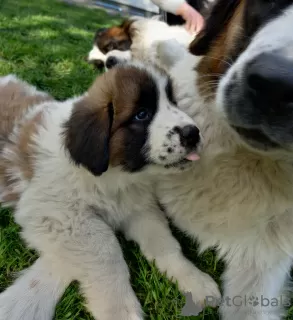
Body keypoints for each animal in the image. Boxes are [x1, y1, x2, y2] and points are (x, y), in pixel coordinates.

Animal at [0, 63, 219, 320]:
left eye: (174, 103)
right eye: (142, 114)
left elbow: (165, 243)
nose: (193, 133)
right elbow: (106, 249)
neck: (114, 175)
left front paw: (194, 279)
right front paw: (119, 309)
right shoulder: (56, 213)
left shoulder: (139, 207)